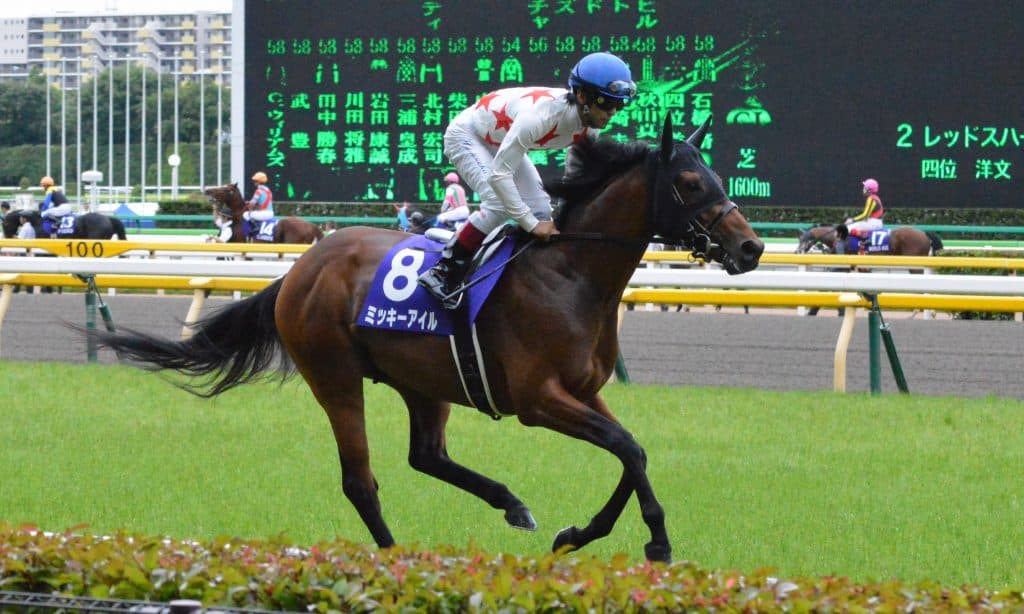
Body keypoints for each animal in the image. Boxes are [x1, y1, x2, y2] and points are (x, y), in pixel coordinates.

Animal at [88, 116, 764, 563]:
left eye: (716, 176)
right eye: (690, 183)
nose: (751, 247)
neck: (570, 272)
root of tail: (301, 268)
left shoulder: (582, 391)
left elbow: (632, 452)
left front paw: (581, 534)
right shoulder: (537, 400)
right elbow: (626, 448)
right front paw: (656, 541)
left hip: (425, 379)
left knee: (427, 455)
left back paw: (510, 504)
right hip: (334, 376)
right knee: (361, 481)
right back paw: (394, 558)